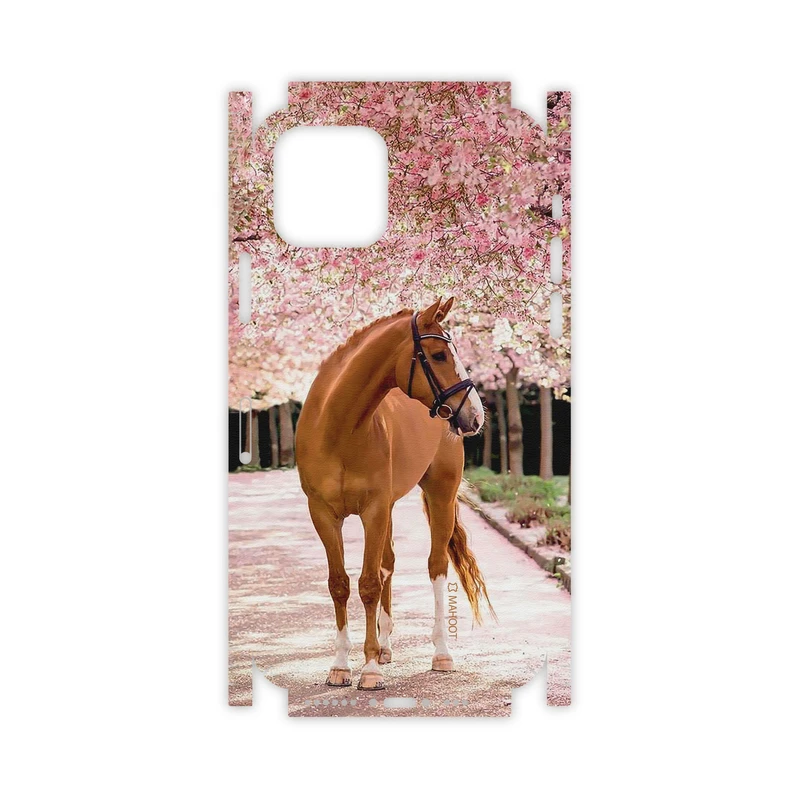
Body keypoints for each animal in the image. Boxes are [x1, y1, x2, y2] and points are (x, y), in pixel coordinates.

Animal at [295, 297, 494, 690]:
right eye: (438, 355)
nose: (476, 415)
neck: (338, 427)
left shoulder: (373, 510)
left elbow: (369, 584)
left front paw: (369, 670)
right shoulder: (324, 514)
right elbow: (340, 584)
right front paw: (341, 666)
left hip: (439, 494)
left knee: (435, 566)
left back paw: (441, 653)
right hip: (388, 508)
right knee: (388, 563)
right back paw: (385, 647)